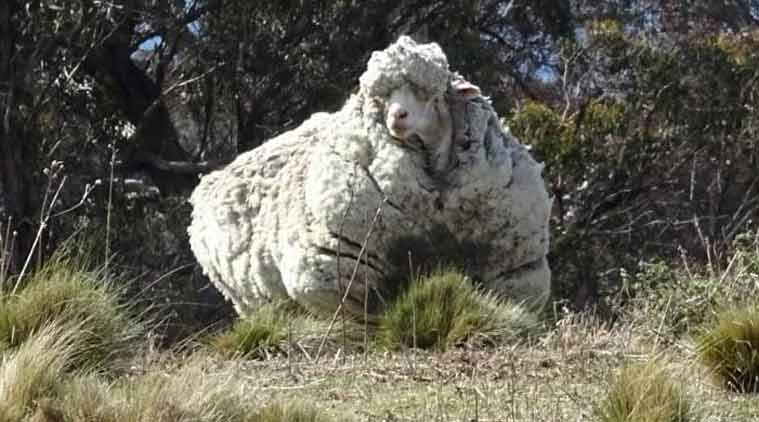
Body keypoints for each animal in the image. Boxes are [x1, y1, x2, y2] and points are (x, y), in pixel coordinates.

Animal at [186, 37, 552, 320]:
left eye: (432, 94)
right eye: (381, 97)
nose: (397, 117)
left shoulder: (513, 271)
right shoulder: (340, 274)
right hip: (250, 299)